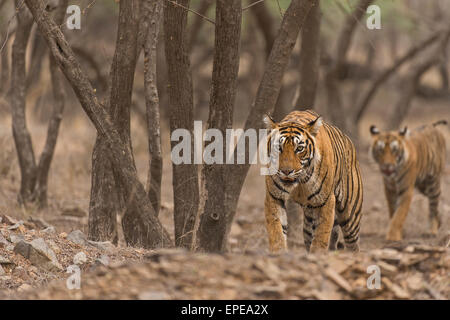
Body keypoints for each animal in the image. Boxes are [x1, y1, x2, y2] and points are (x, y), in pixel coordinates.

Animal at [264, 110, 362, 252]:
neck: (299, 183)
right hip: (309, 221)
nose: (286, 171)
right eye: (278, 147)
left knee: (353, 244)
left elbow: (321, 234)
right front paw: (278, 251)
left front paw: (318, 253)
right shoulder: (274, 196)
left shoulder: (326, 201)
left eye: (299, 149)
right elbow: (276, 228)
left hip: (350, 216)